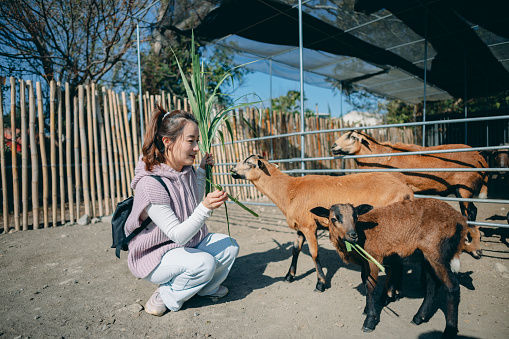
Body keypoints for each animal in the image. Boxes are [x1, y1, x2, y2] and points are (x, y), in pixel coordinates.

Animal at [230, 156, 412, 292]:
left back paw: (391, 291)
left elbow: (314, 253)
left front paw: (321, 283)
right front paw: (289, 276)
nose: (231, 170)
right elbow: (295, 249)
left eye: (249, 164)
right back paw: (396, 289)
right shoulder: (301, 226)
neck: (289, 190)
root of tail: (407, 192)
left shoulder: (309, 226)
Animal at [330, 131, 488, 223]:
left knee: (470, 212)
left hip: (464, 188)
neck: (378, 156)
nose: (333, 146)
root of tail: (480, 157)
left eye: (352, 137)